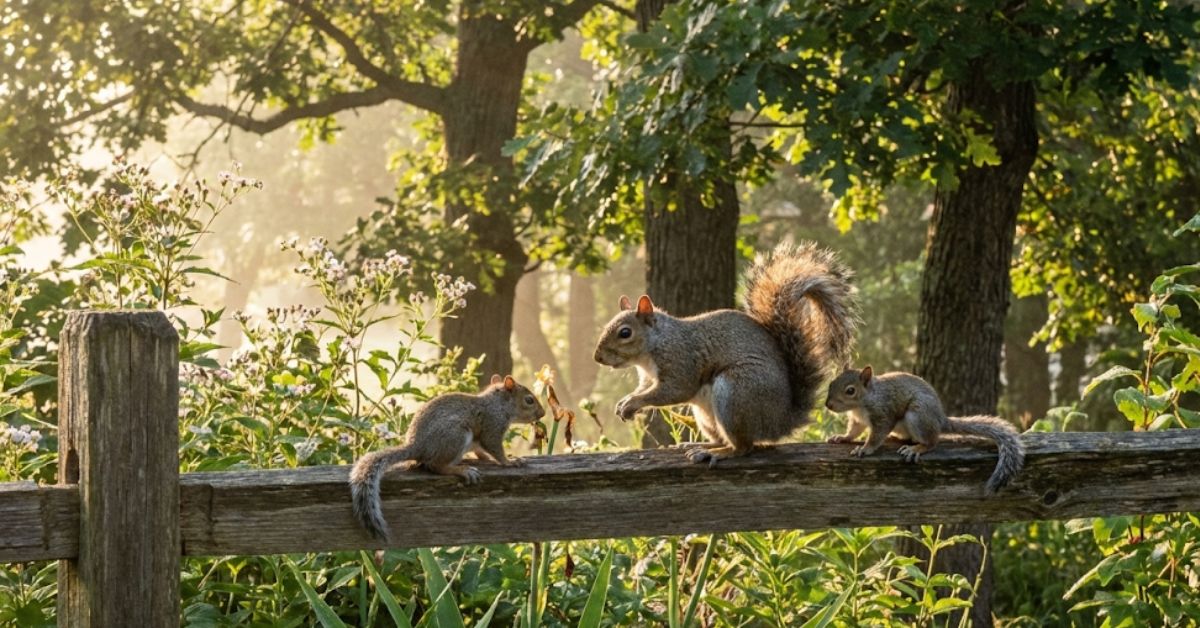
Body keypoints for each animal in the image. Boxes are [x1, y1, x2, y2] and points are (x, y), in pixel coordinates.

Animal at [349, 374, 545, 540]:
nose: (542, 414)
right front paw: (510, 461)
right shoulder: (492, 426)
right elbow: (495, 449)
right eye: (529, 400)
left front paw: (490, 459)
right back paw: (462, 470)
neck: (499, 404)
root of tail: (417, 445)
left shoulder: (478, 441)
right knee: (435, 466)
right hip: (456, 435)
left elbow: (481, 451)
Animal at [593, 242, 858, 466]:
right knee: (724, 438)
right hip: (706, 414)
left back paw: (717, 453)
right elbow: (644, 388)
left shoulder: (681, 361)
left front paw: (633, 403)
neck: (654, 347)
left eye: (625, 332)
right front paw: (625, 402)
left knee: (743, 447)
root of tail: (782, 420)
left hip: (735, 393)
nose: (598, 358)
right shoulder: (648, 377)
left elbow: (673, 391)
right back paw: (701, 445)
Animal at [823, 365, 1025, 494]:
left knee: (932, 441)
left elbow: (877, 435)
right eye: (831, 383)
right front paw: (841, 437)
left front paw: (865, 448)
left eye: (850, 391)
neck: (862, 403)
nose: (828, 405)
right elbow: (853, 432)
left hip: (918, 416)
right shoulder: (858, 420)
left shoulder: (883, 414)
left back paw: (917, 448)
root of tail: (940, 420)